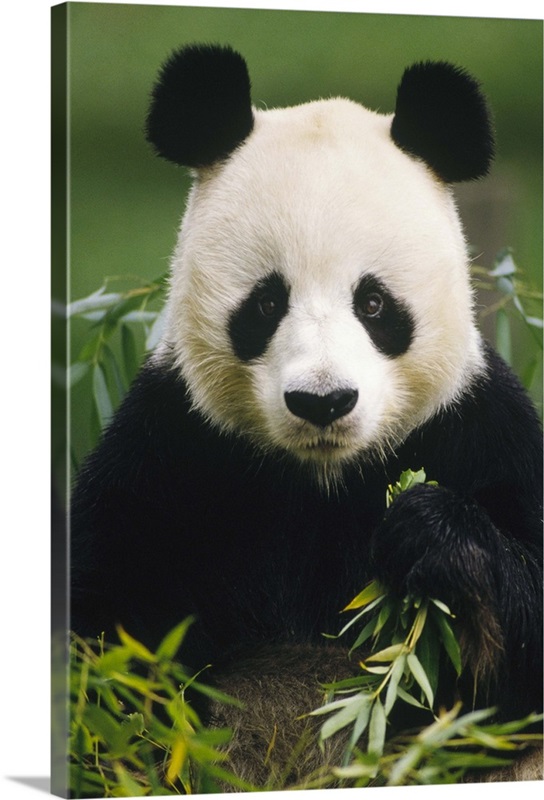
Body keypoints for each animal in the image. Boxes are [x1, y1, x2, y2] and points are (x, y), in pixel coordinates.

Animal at [71, 45, 540, 788]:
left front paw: (431, 536)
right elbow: (105, 646)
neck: (324, 477)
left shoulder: (477, 428)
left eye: (374, 304)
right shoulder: (172, 451)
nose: (323, 401)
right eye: (266, 303)